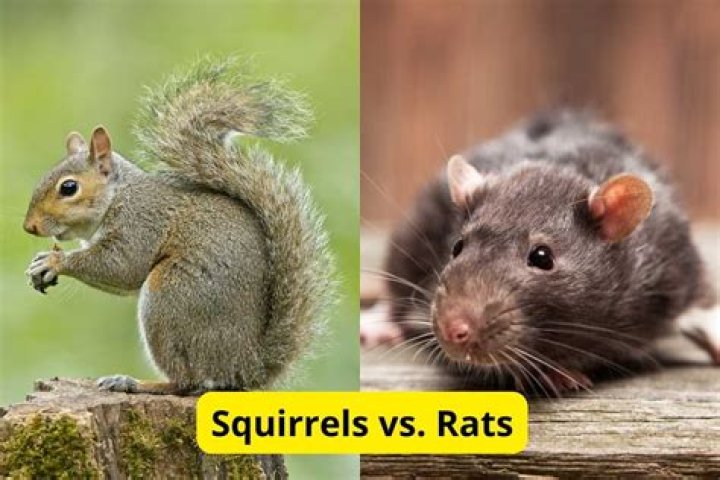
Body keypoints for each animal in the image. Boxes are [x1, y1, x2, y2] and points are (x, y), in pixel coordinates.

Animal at [22, 57, 336, 395]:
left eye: (69, 188)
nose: (29, 227)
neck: (119, 195)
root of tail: (246, 369)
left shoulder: (141, 222)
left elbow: (122, 267)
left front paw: (55, 261)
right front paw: (41, 263)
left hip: (170, 298)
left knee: (186, 381)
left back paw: (135, 382)